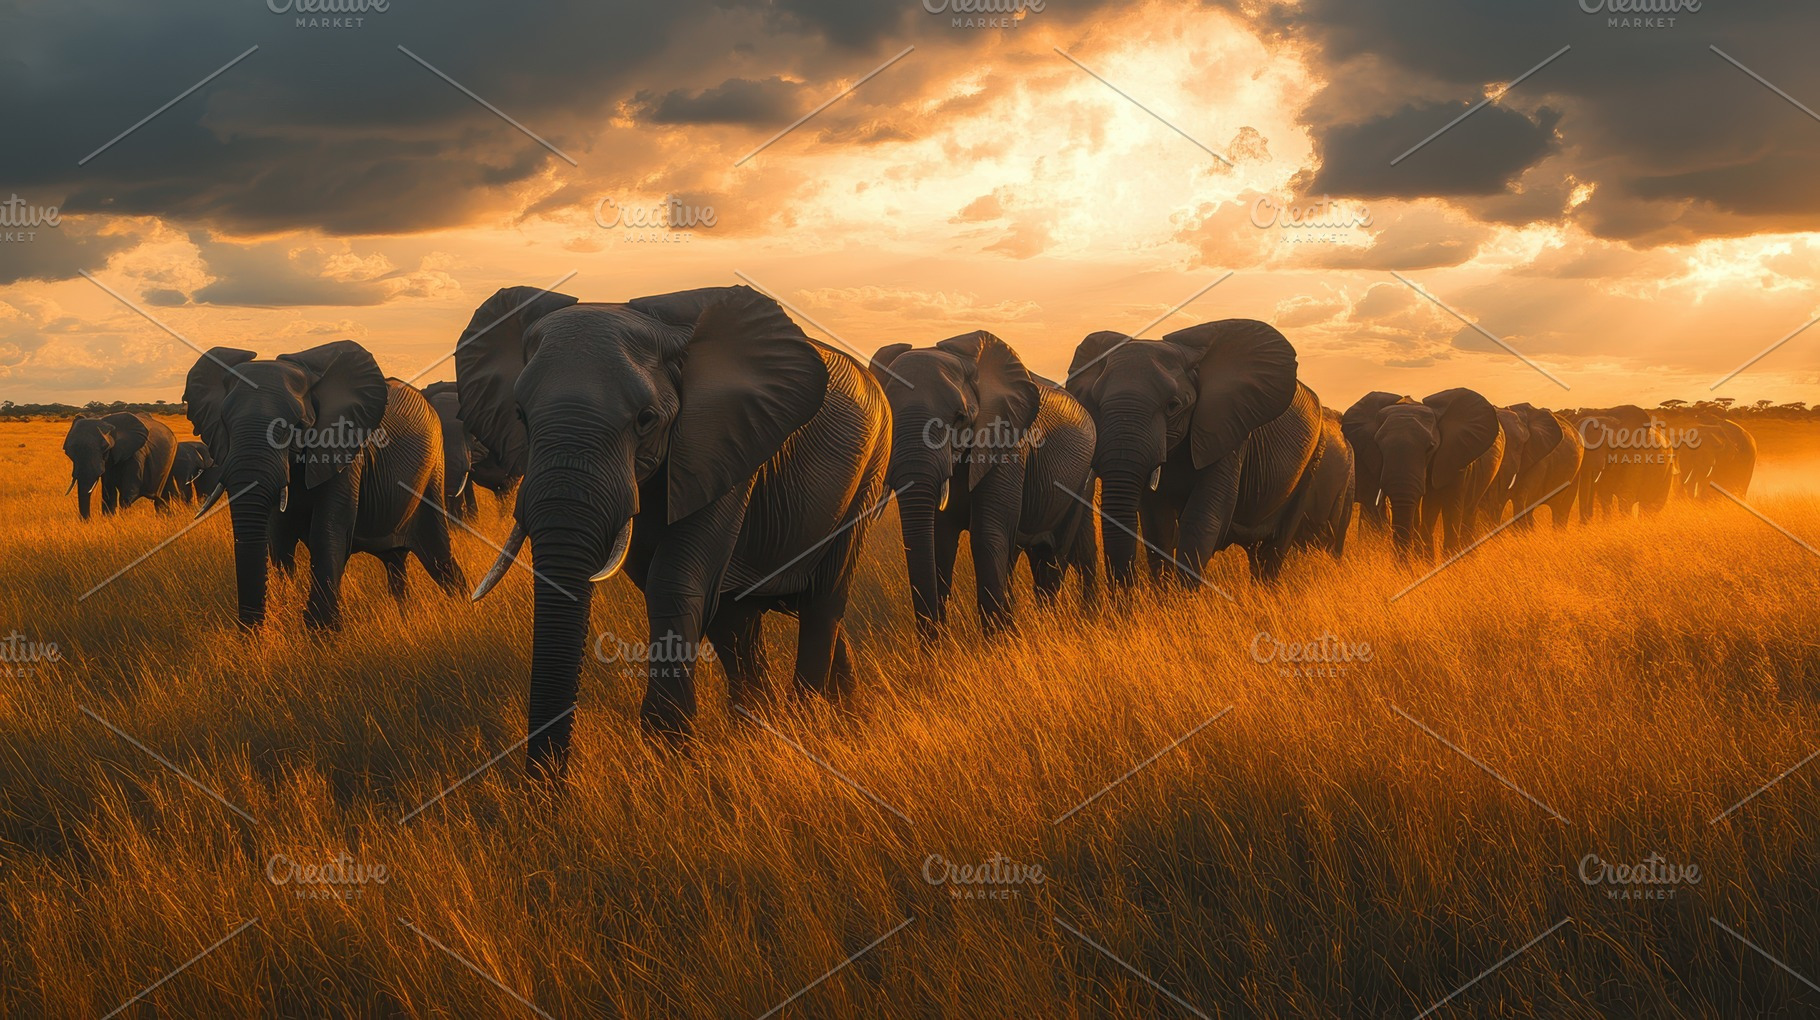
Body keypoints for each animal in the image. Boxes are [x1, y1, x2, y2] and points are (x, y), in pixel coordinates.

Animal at [183, 341, 467, 629]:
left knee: (440, 559)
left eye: (297, 426)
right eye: (225, 423)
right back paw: (405, 617)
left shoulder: (345, 450)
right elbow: (278, 538)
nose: (249, 631)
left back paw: (464, 610)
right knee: (397, 563)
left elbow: (328, 530)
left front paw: (321, 630)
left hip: (432, 473)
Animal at [455, 284, 892, 774]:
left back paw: (807, 722)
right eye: (520, 415)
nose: (546, 786)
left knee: (822, 602)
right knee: (740, 619)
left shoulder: (720, 441)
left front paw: (670, 751)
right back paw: (787, 727)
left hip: (869, 472)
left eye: (645, 419)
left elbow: (675, 581)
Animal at [869, 331, 1097, 639]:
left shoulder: (1009, 446)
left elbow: (987, 534)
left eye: (959, 418)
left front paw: (999, 643)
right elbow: (940, 540)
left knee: (1057, 555)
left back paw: (1056, 621)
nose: (934, 641)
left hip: (1082, 480)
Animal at [1064, 319, 1325, 587]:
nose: (1125, 589)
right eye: (1097, 403)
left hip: (1312, 461)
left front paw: (1183, 595)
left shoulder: (1228, 431)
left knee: (1274, 548)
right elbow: (1157, 524)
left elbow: (1203, 515)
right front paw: (1165, 593)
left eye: (1173, 406)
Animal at [1343, 388, 1504, 559]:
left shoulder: (1456, 456)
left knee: (1468, 510)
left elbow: (1448, 506)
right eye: (1379, 447)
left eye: (1430, 447)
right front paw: (1421, 561)